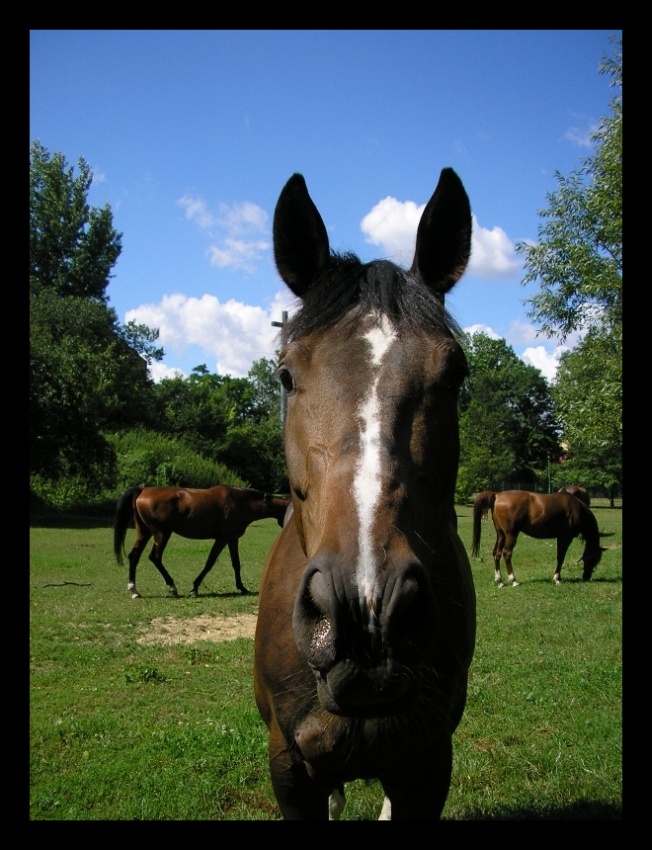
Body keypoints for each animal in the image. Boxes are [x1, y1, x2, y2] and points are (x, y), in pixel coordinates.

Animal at [113, 484, 290, 596]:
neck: (240, 502)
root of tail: (143, 490)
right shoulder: (222, 539)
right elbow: (209, 563)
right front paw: (195, 588)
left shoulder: (232, 539)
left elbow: (236, 564)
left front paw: (242, 588)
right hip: (161, 534)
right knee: (155, 557)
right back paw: (172, 587)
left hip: (144, 532)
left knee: (134, 556)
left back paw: (134, 589)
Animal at [472, 486, 604, 588]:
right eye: (595, 558)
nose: (586, 576)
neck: (576, 508)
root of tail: (497, 495)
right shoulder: (566, 538)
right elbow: (561, 557)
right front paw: (557, 578)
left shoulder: (560, 538)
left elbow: (559, 557)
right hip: (511, 534)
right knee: (507, 553)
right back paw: (513, 580)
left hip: (501, 535)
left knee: (497, 553)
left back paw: (499, 581)